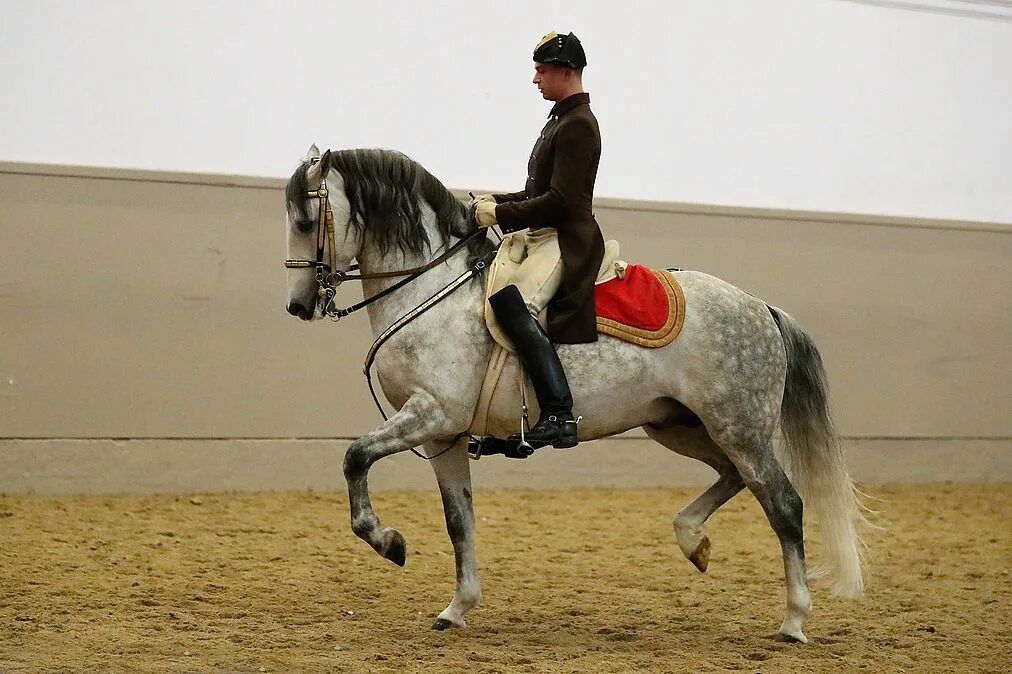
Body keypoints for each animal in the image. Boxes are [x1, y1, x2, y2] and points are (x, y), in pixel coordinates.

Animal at [281, 142, 866, 639]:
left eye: (307, 221)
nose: (298, 305)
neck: (431, 288)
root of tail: (762, 308)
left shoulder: (430, 414)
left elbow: (356, 457)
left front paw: (389, 543)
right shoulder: (443, 435)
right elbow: (458, 519)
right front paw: (456, 608)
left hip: (738, 427)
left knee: (784, 504)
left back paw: (794, 620)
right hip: (679, 426)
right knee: (734, 477)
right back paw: (693, 541)